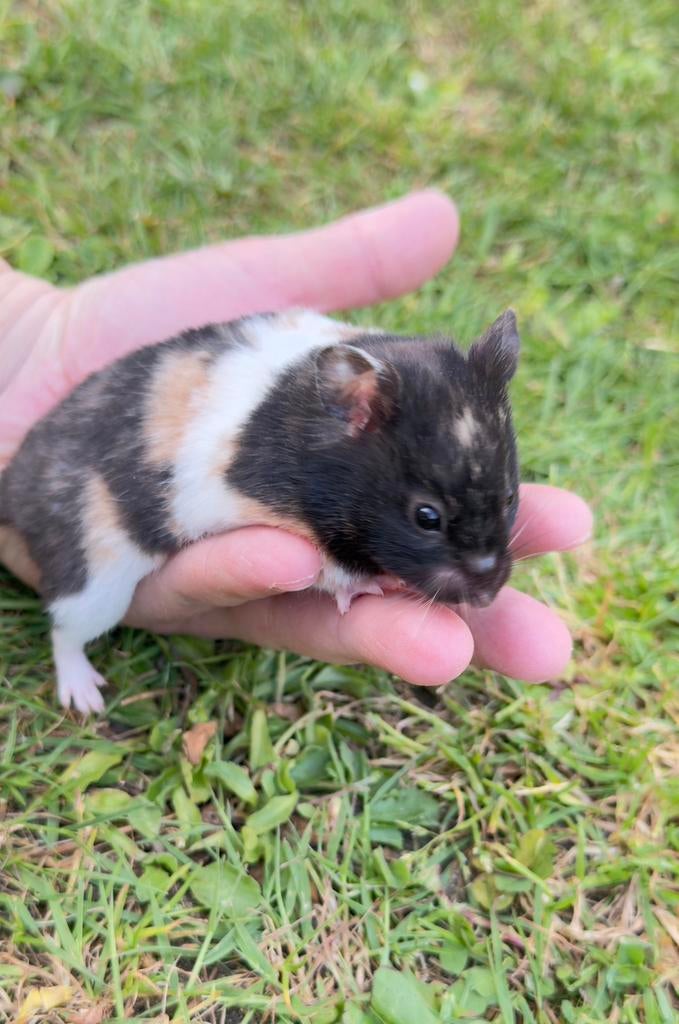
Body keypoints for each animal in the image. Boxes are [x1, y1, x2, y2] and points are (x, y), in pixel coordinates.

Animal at [0, 309, 520, 713]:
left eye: (510, 498)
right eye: (426, 517)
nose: (487, 598)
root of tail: (14, 487)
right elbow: (331, 568)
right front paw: (376, 584)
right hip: (95, 577)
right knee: (63, 631)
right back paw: (85, 698)